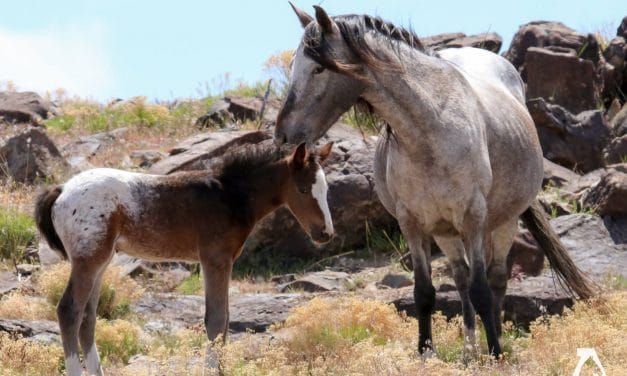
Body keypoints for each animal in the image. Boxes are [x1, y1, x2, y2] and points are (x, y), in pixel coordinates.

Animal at [35, 142, 334, 376]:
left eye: (326, 190)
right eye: (303, 189)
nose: (326, 233)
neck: (230, 196)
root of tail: (61, 189)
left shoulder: (224, 261)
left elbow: (225, 321)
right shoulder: (215, 259)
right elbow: (215, 320)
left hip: (102, 261)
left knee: (88, 318)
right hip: (88, 259)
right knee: (69, 311)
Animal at [276, 3, 592, 358]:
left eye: (318, 68)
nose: (283, 134)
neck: (432, 129)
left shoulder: (472, 216)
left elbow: (482, 290)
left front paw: (495, 352)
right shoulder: (412, 223)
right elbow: (425, 292)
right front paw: (426, 352)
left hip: (502, 222)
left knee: (496, 279)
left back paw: (494, 341)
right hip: (446, 231)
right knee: (461, 278)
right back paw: (469, 348)